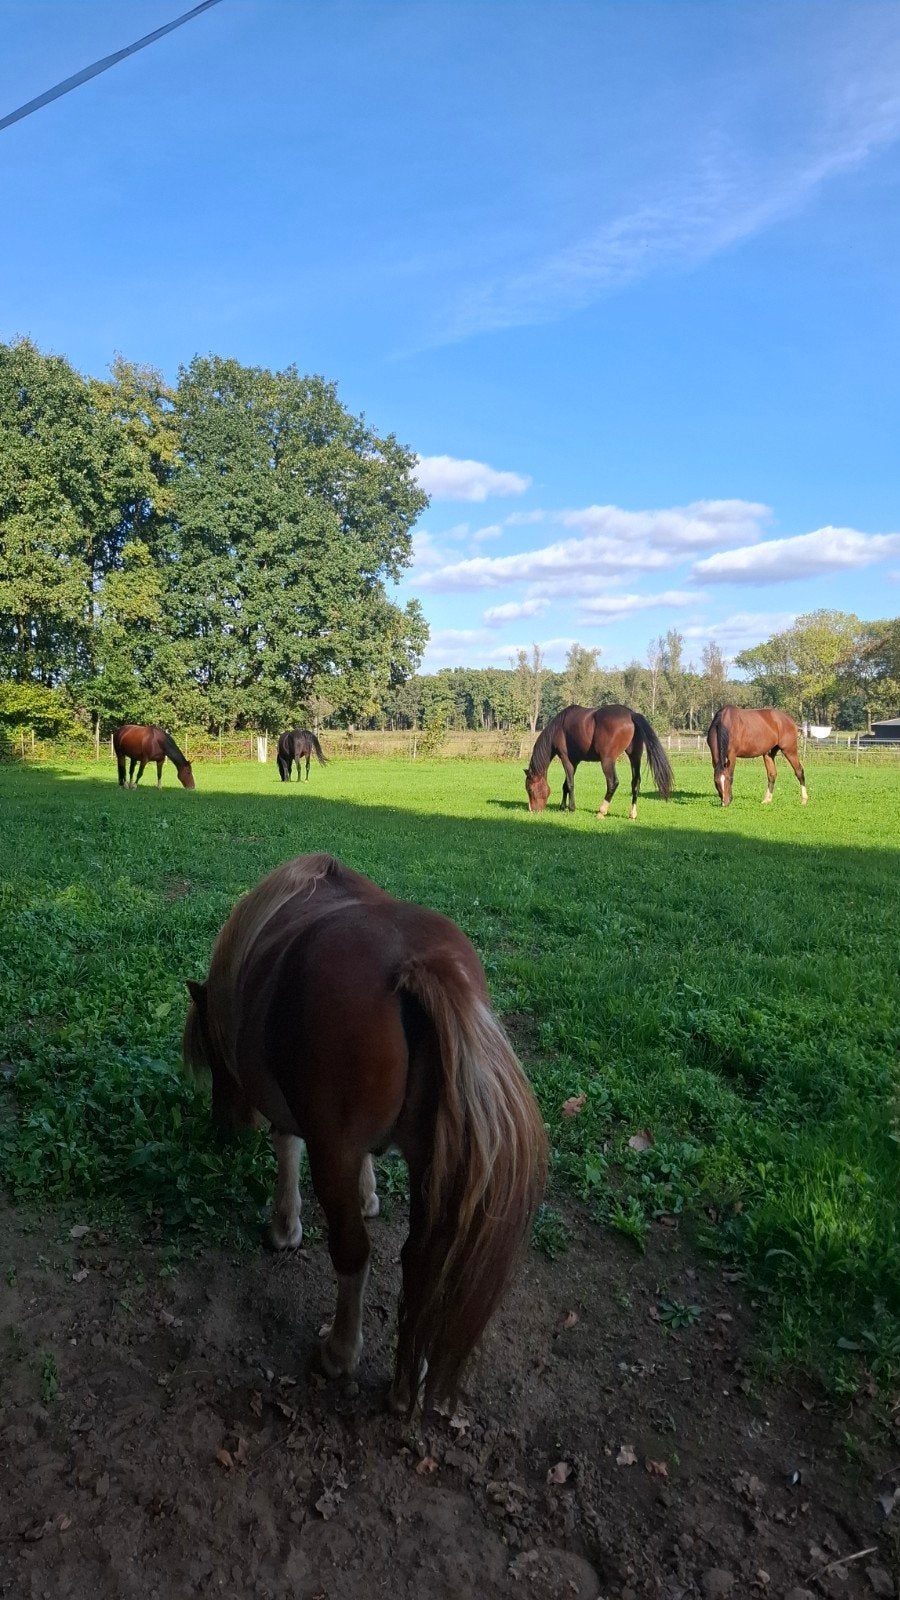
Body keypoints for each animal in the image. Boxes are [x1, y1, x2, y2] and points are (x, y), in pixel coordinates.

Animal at [183, 854, 547, 1413]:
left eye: (211, 1047)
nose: (226, 1129)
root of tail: (420, 967)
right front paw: (369, 1193)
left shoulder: (301, 1120)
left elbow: (286, 1148)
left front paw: (285, 1227)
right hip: (430, 1161)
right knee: (421, 1259)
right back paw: (409, 1379)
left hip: (334, 1155)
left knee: (354, 1253)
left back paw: (340, 1351)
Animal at [525, 704, 674, 819]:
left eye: (529, 789)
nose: (532, 810)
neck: (559, 728)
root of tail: (631, 714)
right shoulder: (574, 761)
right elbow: (565, 785)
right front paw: (562, 807)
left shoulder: (565, 758)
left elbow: (570, 784)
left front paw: (571, 808)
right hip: (635, 756)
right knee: (635, 783)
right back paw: (632, 814)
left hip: (607, 761)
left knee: (613, 783)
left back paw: (601, 812)